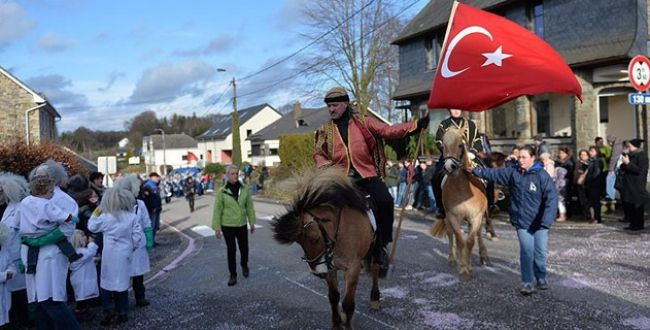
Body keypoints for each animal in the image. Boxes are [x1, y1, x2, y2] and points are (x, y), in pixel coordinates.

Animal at [270, 169, 380, 328]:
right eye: (299, 242)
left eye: (315, 239)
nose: (317, 273)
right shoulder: (329, 266)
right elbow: (333, 297)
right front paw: (336, 324)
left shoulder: (352, 267)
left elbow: (348, 304)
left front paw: (347, 324)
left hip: (375, 248)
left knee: (376, 267)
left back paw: (375, 298)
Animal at [430, 125, 492, 280]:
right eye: (443, 146)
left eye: (460, 145)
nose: (448, 166)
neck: (462, 188)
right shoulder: (452, 216)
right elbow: (459, 240)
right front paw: (464, 268)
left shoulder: (476, 216)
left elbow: (470, 242)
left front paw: (468, 267)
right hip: (447, 218)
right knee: (450, 234)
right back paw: (452, 258)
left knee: (477, 234)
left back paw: (483, 255)